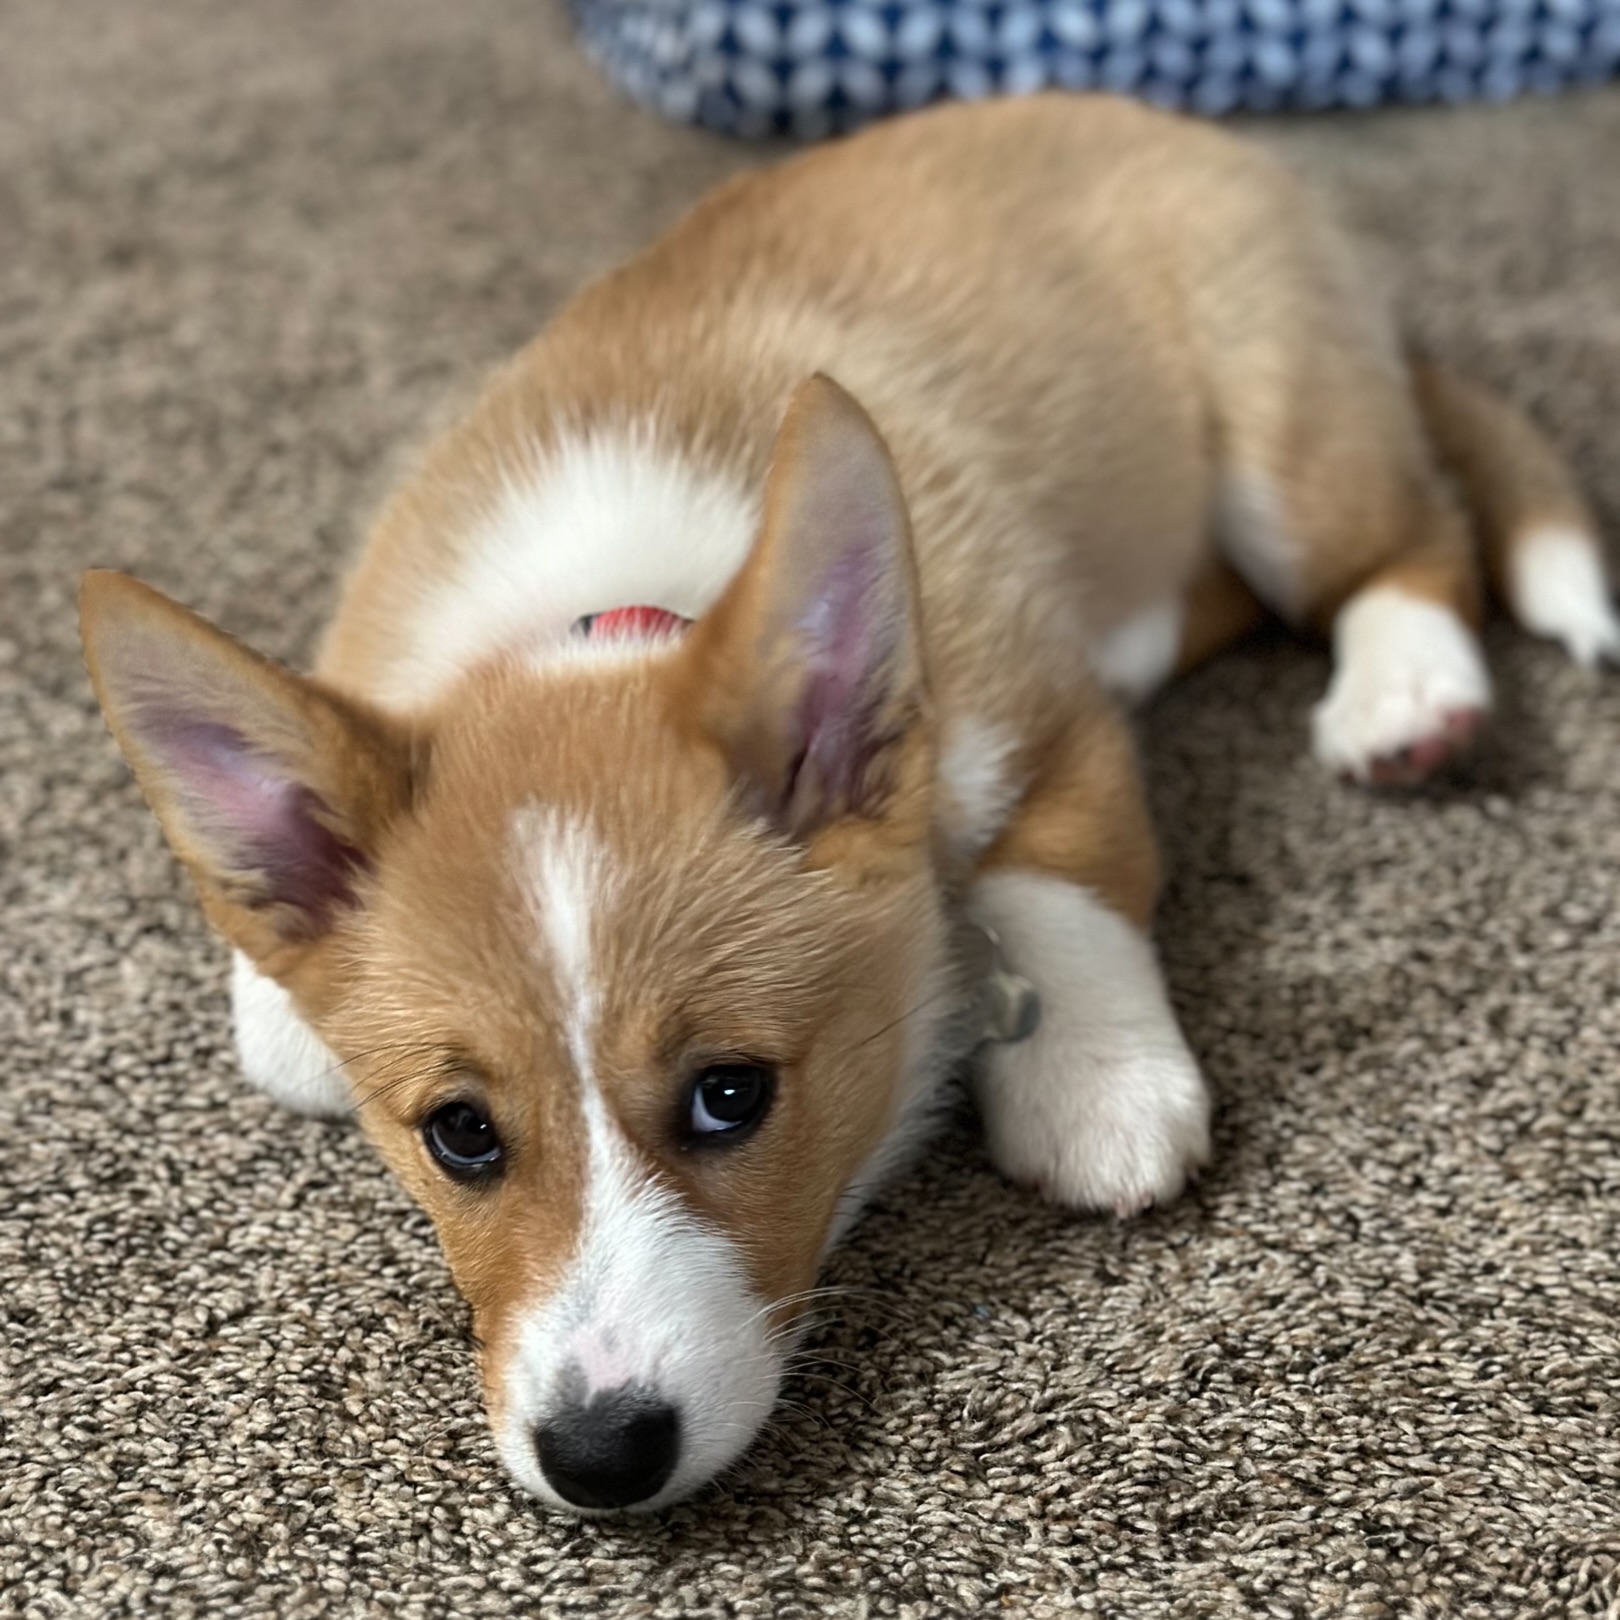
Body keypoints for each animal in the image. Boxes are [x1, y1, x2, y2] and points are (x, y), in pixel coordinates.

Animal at [80, 94, 1617, 1513]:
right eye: (461, 1132)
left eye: (730, 1095)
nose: (601, 1460)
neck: (612, 619)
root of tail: (1159, 120)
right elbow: (282, 1036)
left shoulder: (1048, 721)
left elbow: (1051, 882)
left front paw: (1094, 1082)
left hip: (1285, 438)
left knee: (1413, 540)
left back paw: (1408, 693)